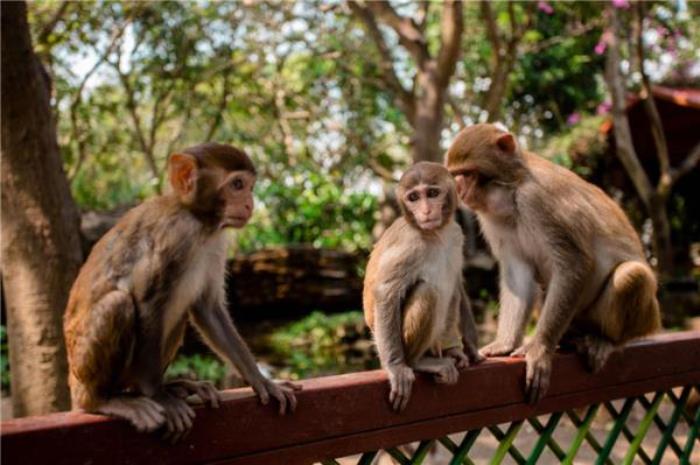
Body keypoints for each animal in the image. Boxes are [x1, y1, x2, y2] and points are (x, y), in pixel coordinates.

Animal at [66, 143, 304, 440]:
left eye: (249, 186)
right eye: (237, 185)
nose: (250, 204)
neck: (199, 222)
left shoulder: (216, 243)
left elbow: (208, 309)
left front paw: (262, 381)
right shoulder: (174, 236)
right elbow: (148, 303)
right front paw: (159, 396)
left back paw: (174, 386)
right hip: (82, 368)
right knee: (119, 305)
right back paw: (107, 400)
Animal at [364, 161, 484, 412]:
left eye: (432, 193)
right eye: (413, 197)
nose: (426, 210)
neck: (436, 233)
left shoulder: (456, 234)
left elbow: (457, 283)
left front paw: (467, 347)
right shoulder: (410, 245)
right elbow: (386, 293)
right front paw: (396, 367)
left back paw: (450, 350)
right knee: (427, 292)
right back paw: (418, 362)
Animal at [446, 123, 660, 402]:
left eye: (467, 173)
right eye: (455, 175)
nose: (459, 190)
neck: (513, 191)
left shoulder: (538, 200)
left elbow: (574, 265)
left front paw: (540, 349)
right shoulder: (492, 219)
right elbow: (518, 275)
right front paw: (505, 343)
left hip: (641, 318)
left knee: (631, 275)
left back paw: (608, 341)